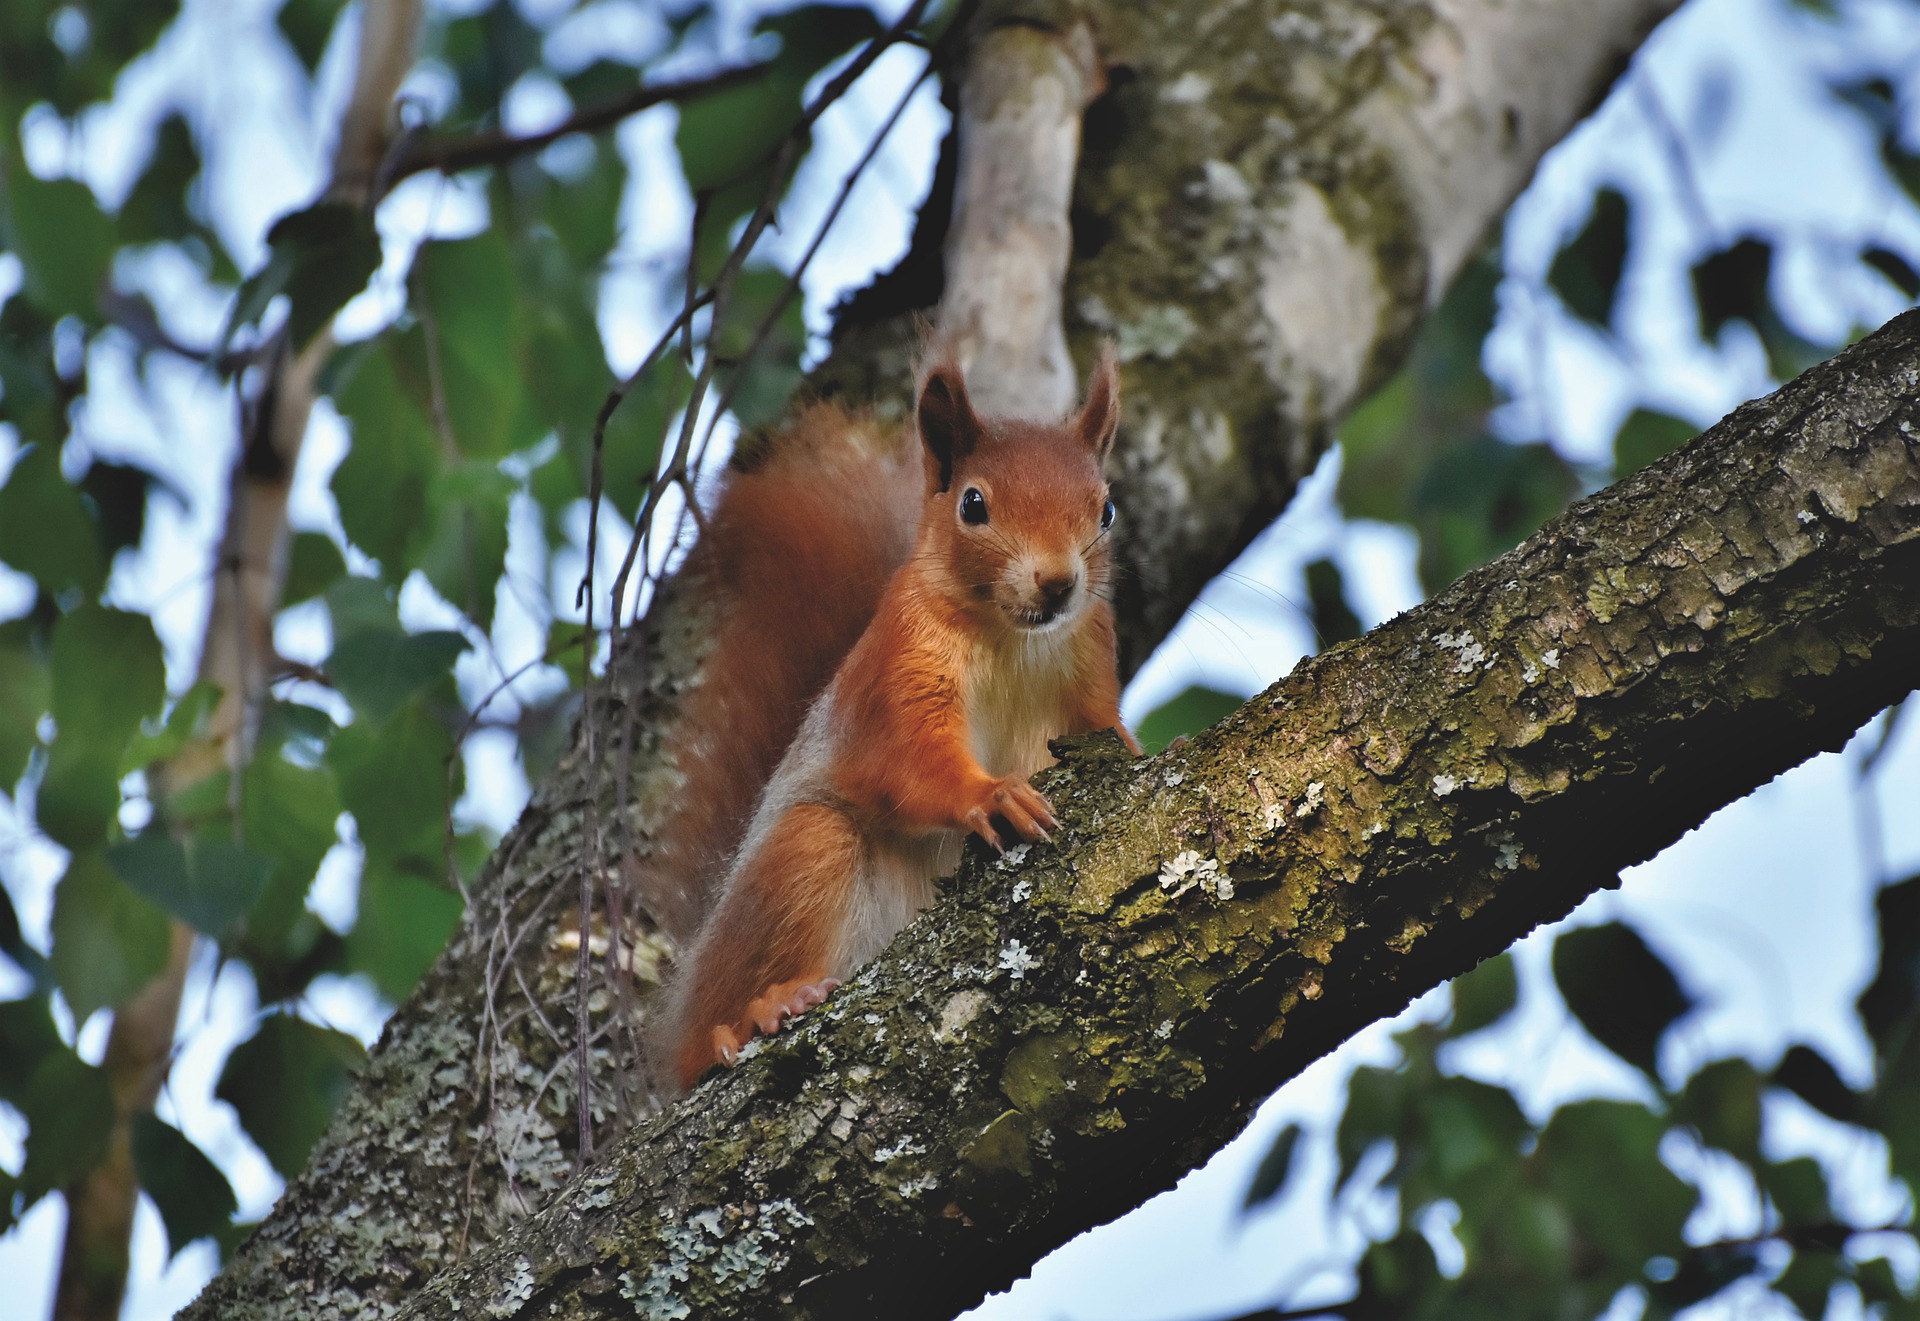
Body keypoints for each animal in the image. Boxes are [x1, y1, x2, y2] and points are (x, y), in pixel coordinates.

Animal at [664, 345, 1128, 1090]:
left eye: (1106, 508)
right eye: (973, 504)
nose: (1058, 583)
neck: (1013, 639)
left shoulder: (1090, 672)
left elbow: (1109, 735)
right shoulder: (896, 669)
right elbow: (909, 761)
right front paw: (991, 794)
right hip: (806, 850)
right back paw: (759, 1013)